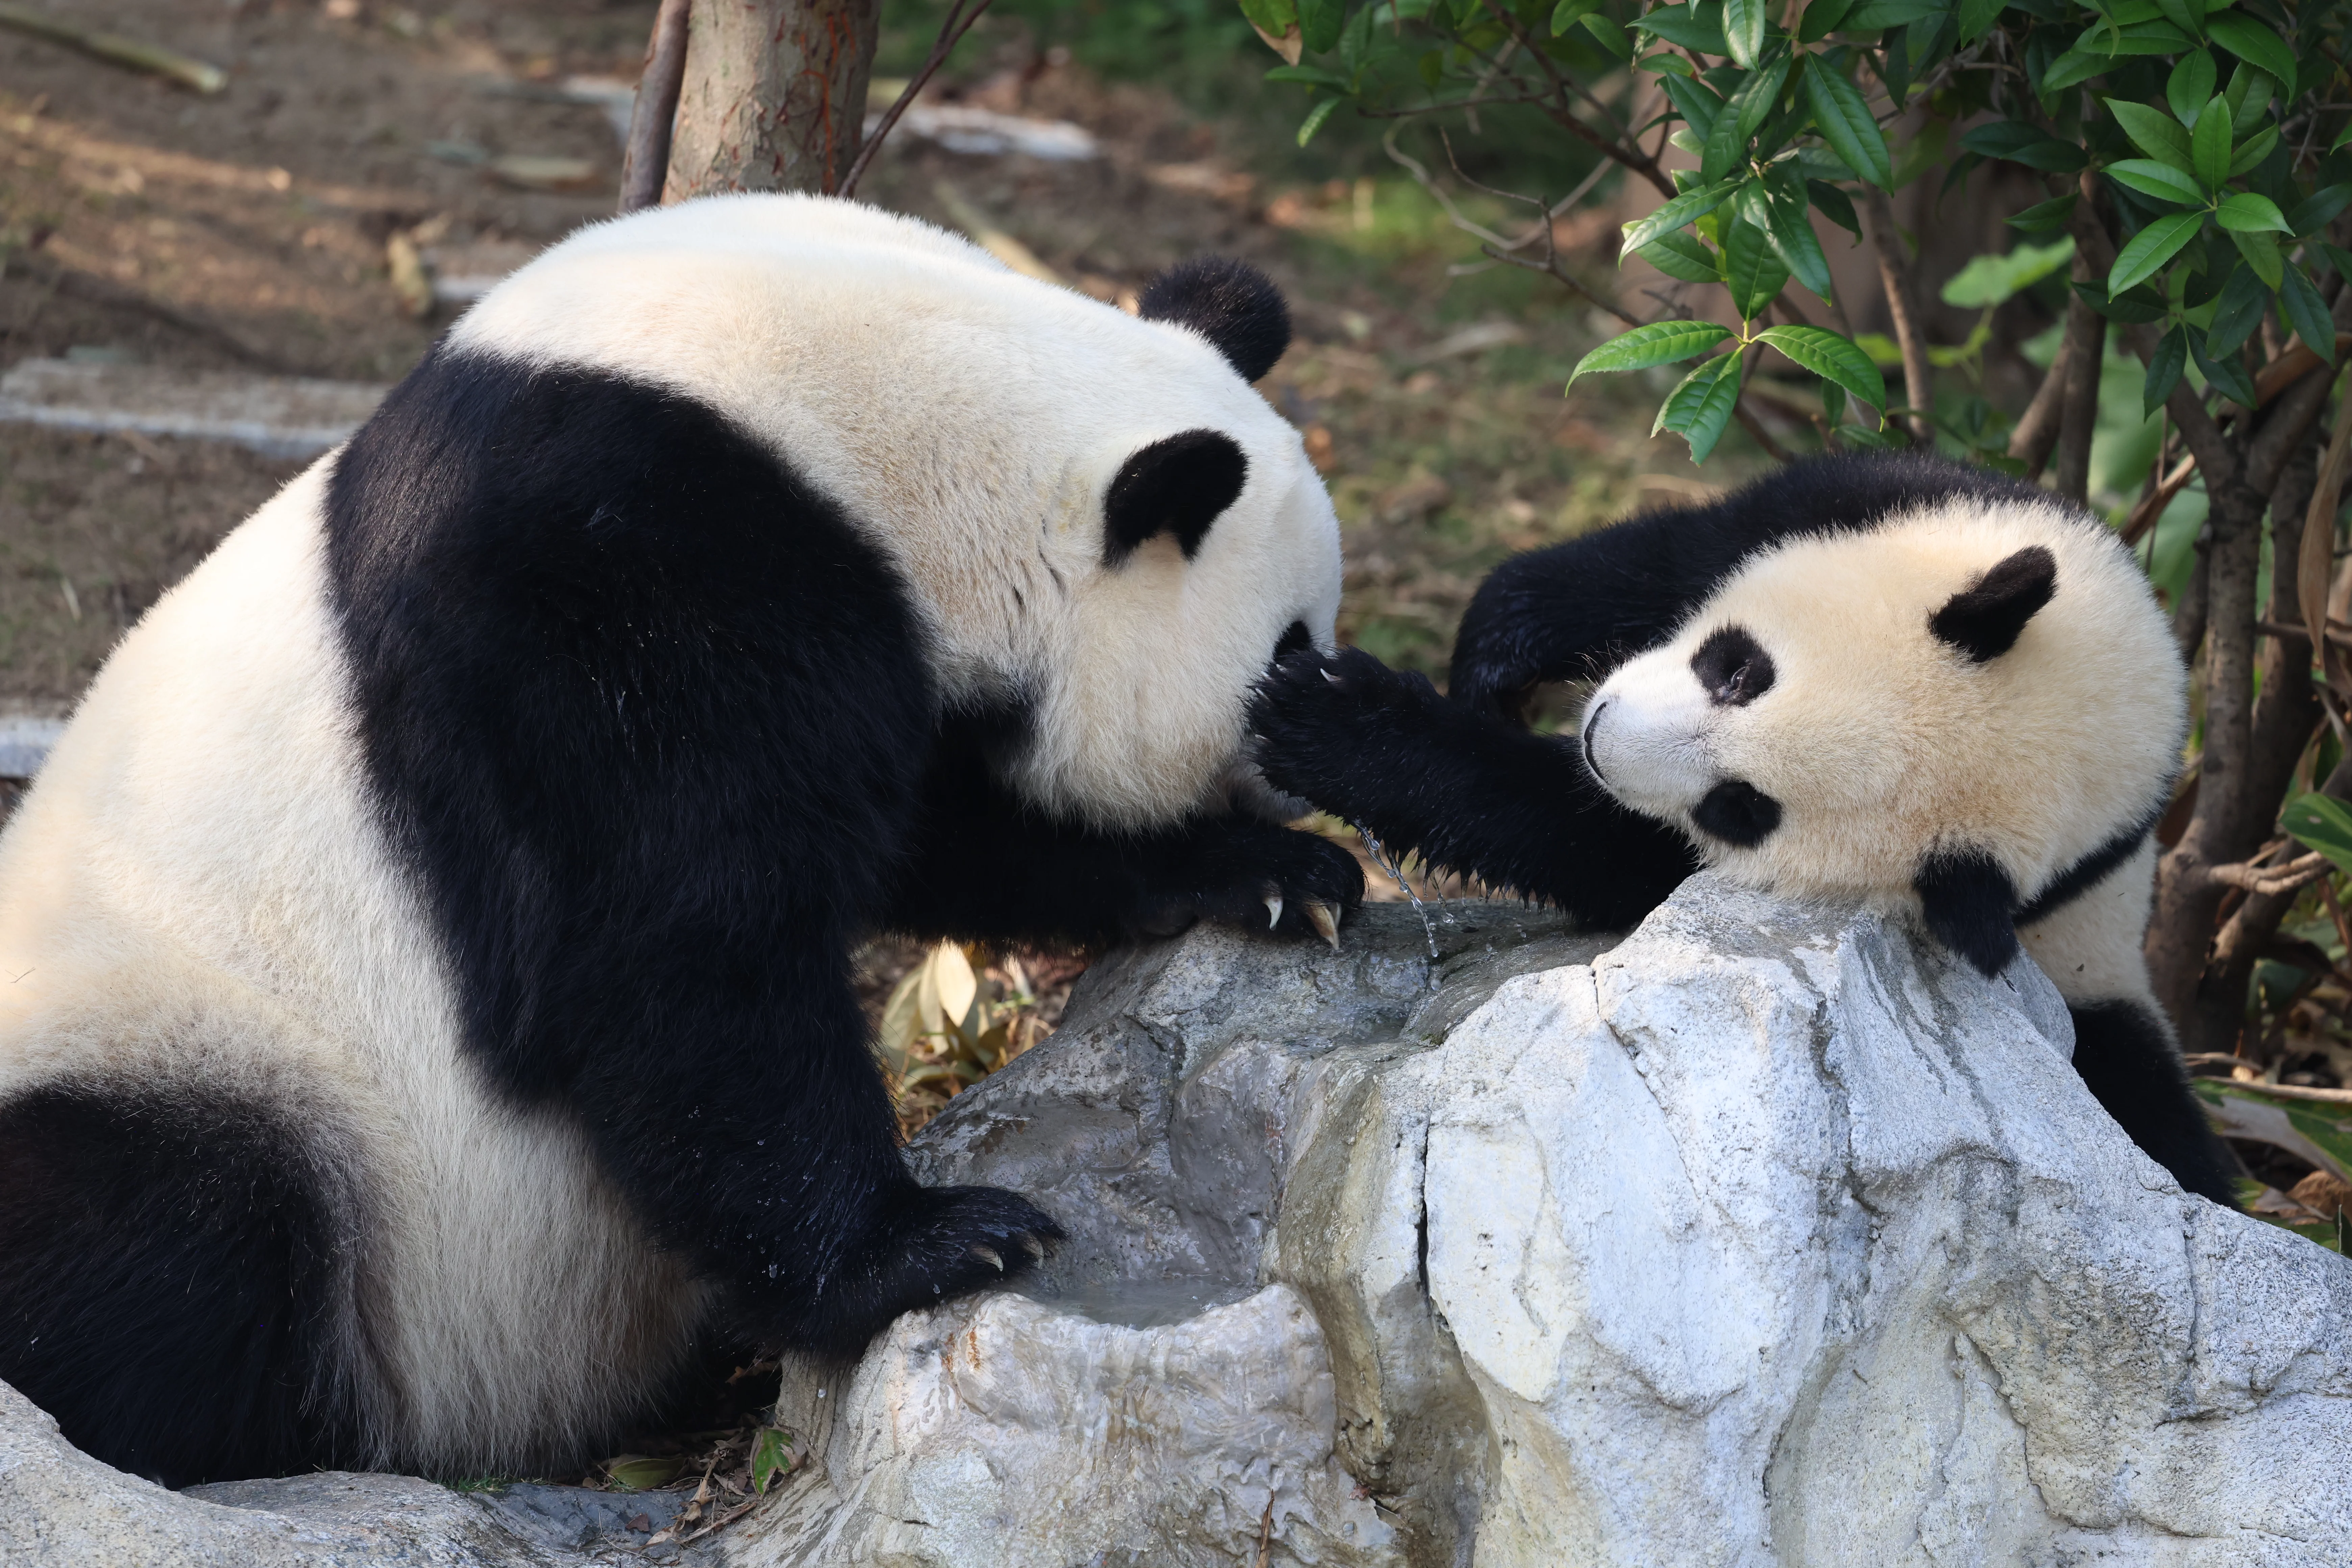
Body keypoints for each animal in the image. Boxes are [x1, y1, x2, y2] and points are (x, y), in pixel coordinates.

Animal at [0, 194, 1364, 1487]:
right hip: (202, 1051)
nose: (1307, 784)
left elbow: (936, 835)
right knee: (189, 1231)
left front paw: (1264, 874)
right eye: (1289, 652)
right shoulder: (606, 582)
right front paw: (930, 1245)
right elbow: (671, 948)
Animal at [1250, 451, 2238, 1206]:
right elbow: (1661, 558)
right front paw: (1494, 657)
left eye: (1741, 805)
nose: (1600, 737)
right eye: (1738, 670)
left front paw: (1338, 728)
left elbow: (1591, 840)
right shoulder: (1897, 504)